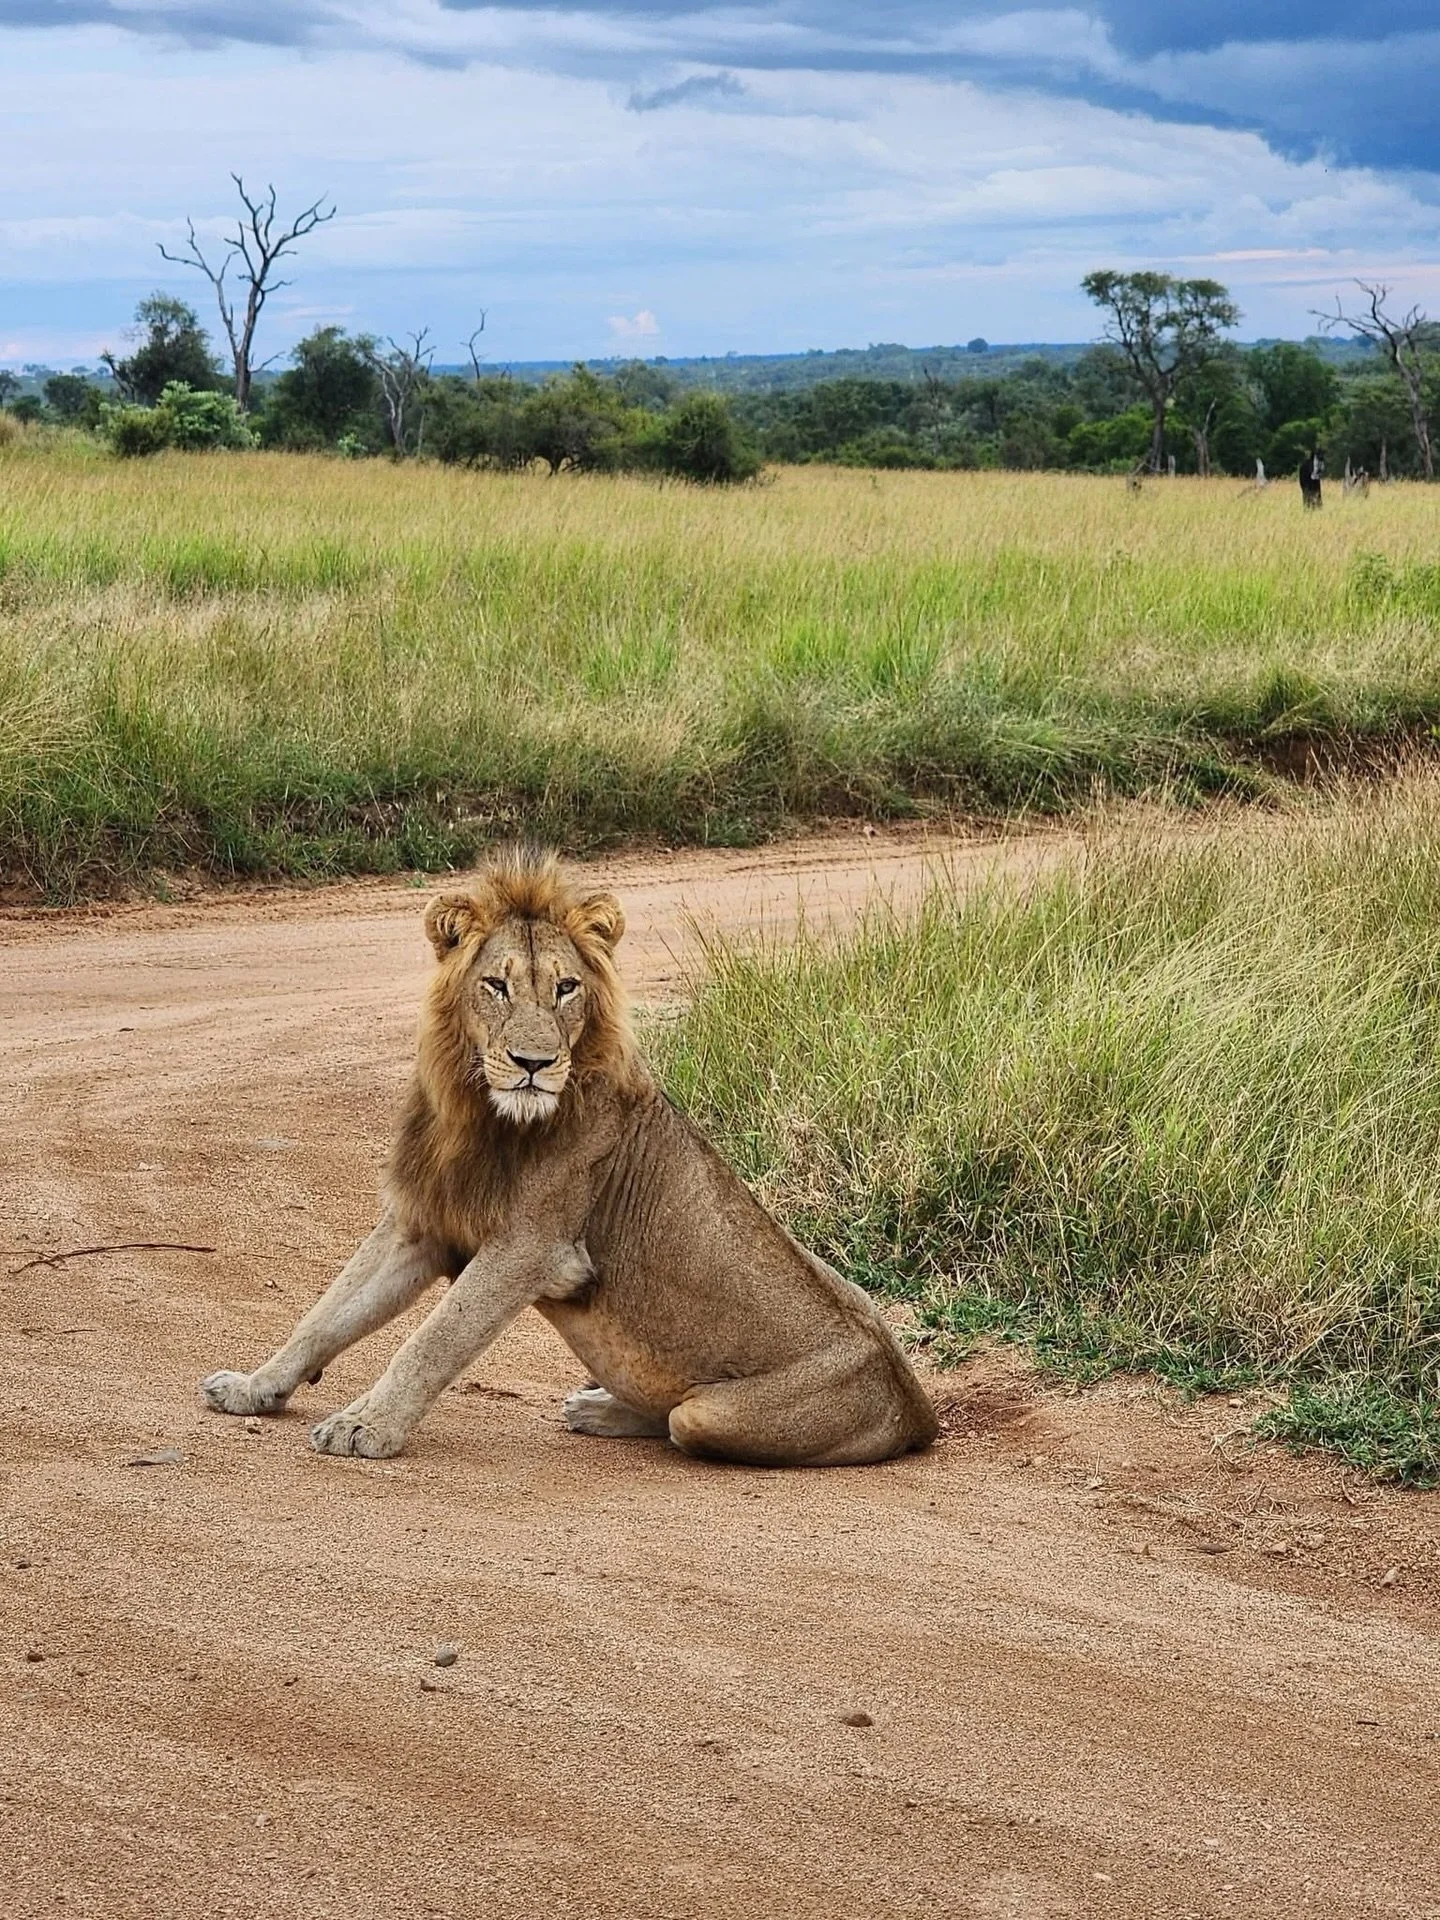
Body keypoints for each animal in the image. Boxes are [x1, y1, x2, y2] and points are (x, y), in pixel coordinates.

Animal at [200, 848, 938, 1468]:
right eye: (496, 985)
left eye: (565, 988)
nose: (534, 1064)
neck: (480, 1115)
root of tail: (918, 1409)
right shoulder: (421, 1222)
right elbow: (326, 1314)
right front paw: (253, 1388)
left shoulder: (531, 1247)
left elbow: (433, 1340)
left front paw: (365, 1427)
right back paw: (594, 1404)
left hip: (714, 1414)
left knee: (680, 1418)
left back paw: (600, 1409)